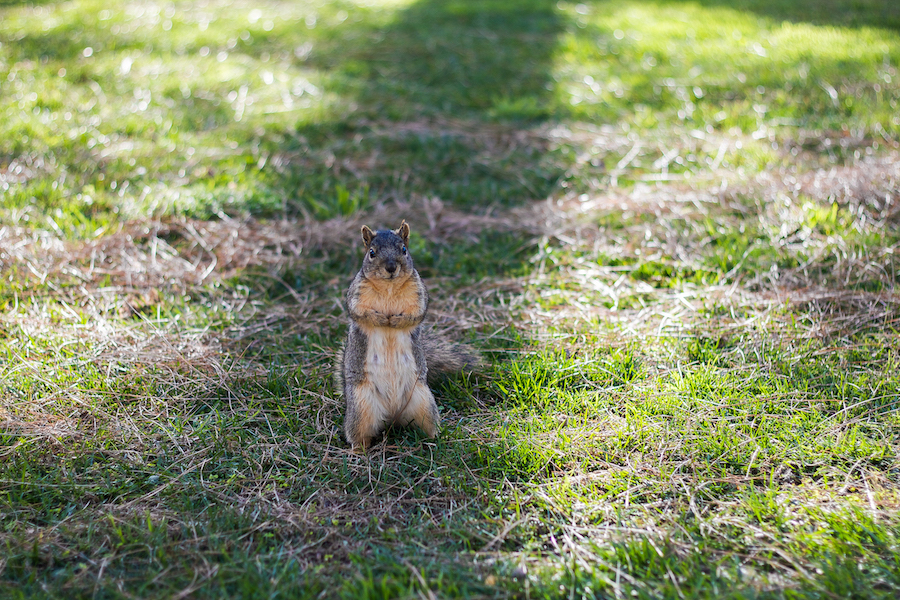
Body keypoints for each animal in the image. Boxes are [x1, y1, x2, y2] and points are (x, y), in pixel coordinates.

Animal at [336, 220, 478, 450]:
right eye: (371, 253)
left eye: (404, 249)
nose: (391, 267)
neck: (389, 287)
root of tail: (392, 417)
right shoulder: (356, 295)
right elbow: (359, 312)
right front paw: (381, 319)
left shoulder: (419, 295)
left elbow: (416, 314)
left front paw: (394, 321)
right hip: (360, 407)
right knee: (359, 435)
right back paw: (358, 451)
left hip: (424, 402)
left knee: (427, 426)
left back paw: (435, 441)